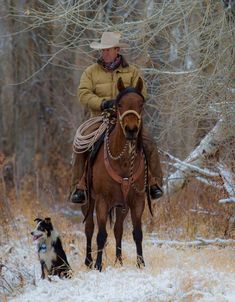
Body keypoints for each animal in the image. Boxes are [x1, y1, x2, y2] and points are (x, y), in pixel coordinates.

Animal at [82, 77, 149, 272]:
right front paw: (98, 265)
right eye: (119, 104)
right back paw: (88, 261)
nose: (131, 129)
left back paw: (118, 260)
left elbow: (137, 233)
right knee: (89, 228)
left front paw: (141, 263)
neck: (123, 161)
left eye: (141, 103)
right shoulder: (102, 200)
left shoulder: (137, 200)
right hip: (88, 200)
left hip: (121, 205)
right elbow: (101, 234)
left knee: (118, 228)